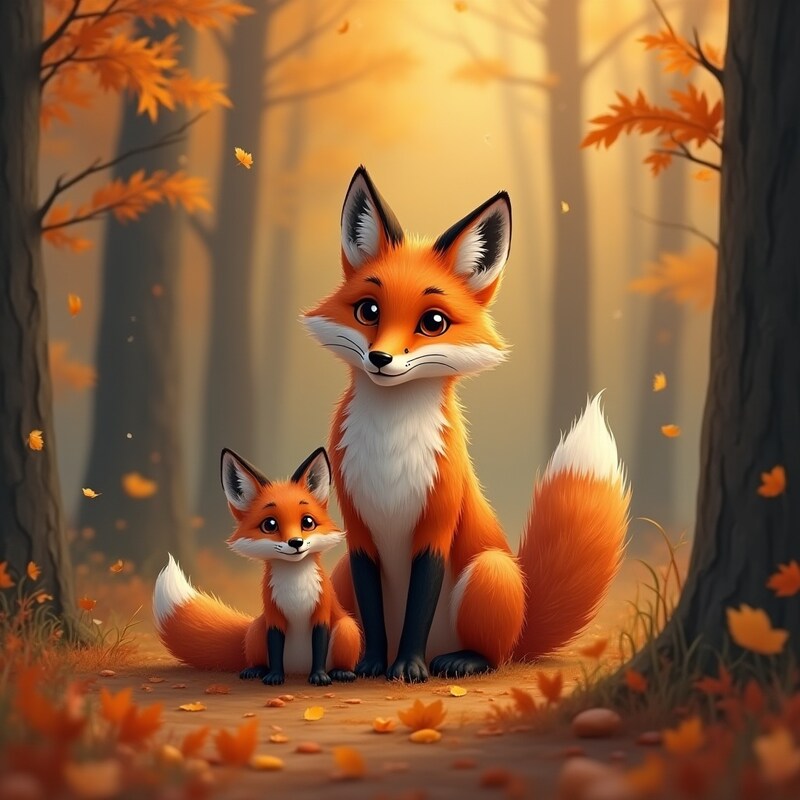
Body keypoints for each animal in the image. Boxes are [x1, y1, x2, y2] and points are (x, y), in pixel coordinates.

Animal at [152, 447, 361, 686]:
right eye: (270, 525)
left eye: (307, 522)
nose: (296, 543)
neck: (296, 589)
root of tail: (297, 669)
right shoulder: (273, 617)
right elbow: (275, 647)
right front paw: (274, 676)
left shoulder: (322, 613)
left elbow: (319, 646)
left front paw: (319, 676)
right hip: (256, 630)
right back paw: (256, 670)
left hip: (347, 629)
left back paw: (341, 672)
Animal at [301, 166, 631, 683]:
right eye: (368, 311)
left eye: (433, 322)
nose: (380, 359)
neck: (390, 450)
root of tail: (524, 625)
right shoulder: (359, 533)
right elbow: (374, 613)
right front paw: (375, 663)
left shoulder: (436, 523)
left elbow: (420, 604)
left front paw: (408, 668)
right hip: (340, 578)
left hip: (489, 570)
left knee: (495, 654)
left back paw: (459, 660)